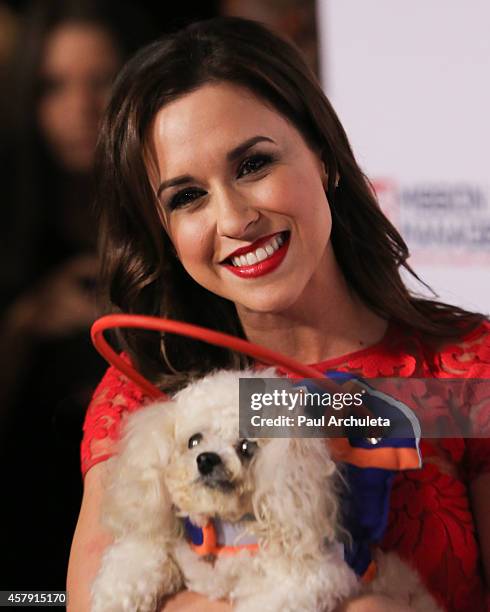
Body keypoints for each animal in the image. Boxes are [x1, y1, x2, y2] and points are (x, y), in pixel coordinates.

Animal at [90, 368, 442, 612]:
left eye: (247, 447)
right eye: (194, 440)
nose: (206, 460)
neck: (225, 527)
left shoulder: (312, 578)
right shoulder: (170, 540)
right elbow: (137, 556)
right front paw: (114, 598)